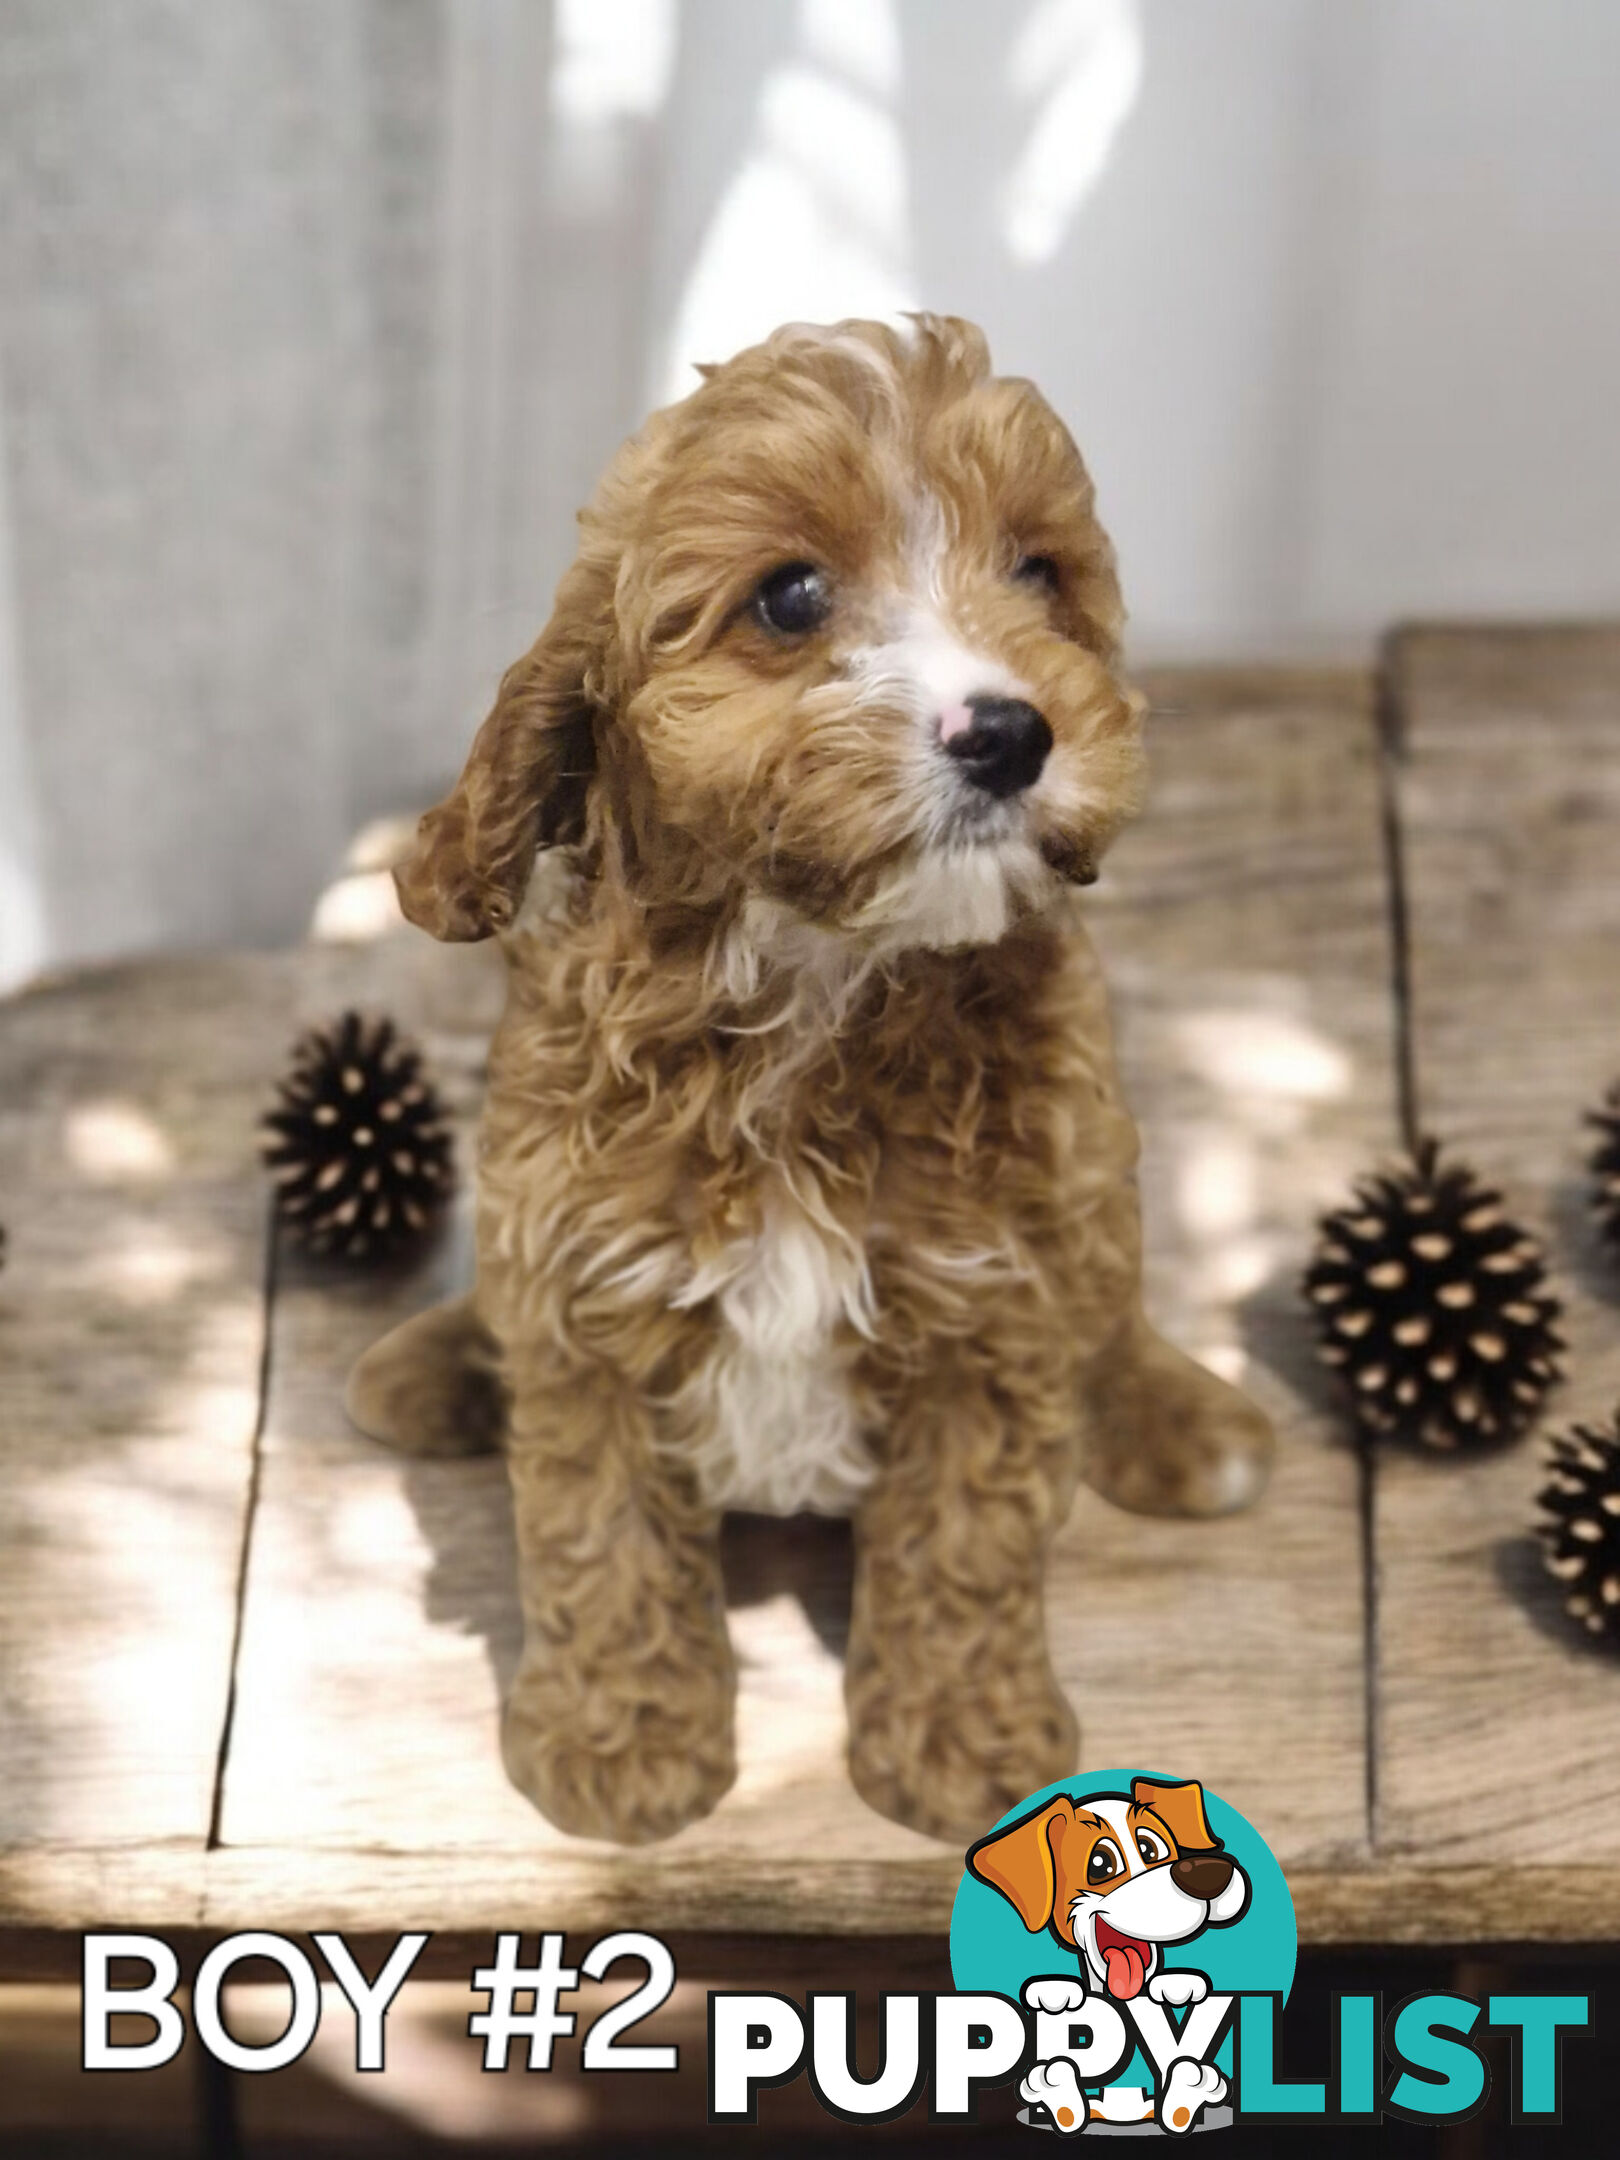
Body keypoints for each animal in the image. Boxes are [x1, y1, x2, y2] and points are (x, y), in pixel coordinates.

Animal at [349, 313, 1278, 1848]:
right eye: (789, 598)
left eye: (1039, 573)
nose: (1011, 732)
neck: (817, 985)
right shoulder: (584, 1287)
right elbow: (601, 1537)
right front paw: (620, 1747)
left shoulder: (995, 1303)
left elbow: (966, 1545)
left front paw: (965, 1747)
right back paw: (433, 1364)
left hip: (1102, 1178)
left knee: (1115, 1305)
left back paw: (1183, 1419)